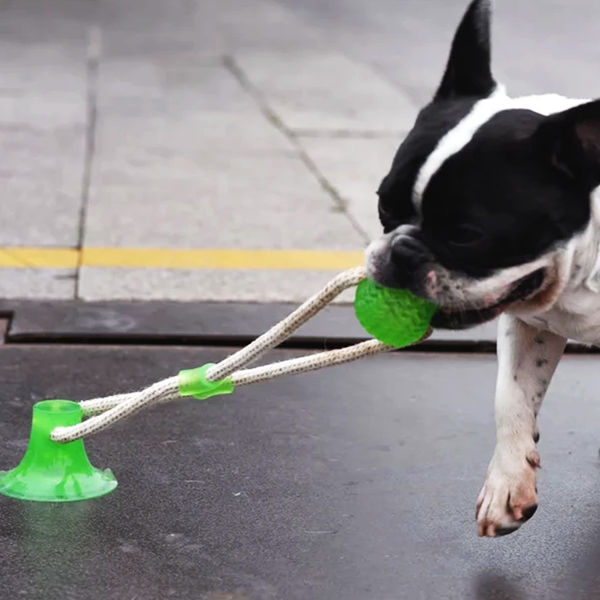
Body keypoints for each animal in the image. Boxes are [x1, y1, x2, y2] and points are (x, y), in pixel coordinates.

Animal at [364, 0, 600, 540]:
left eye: (466, 235)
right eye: (384, 205)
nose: (402, 250)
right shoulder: (529, 323)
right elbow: (510, 395)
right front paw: (508, 483)